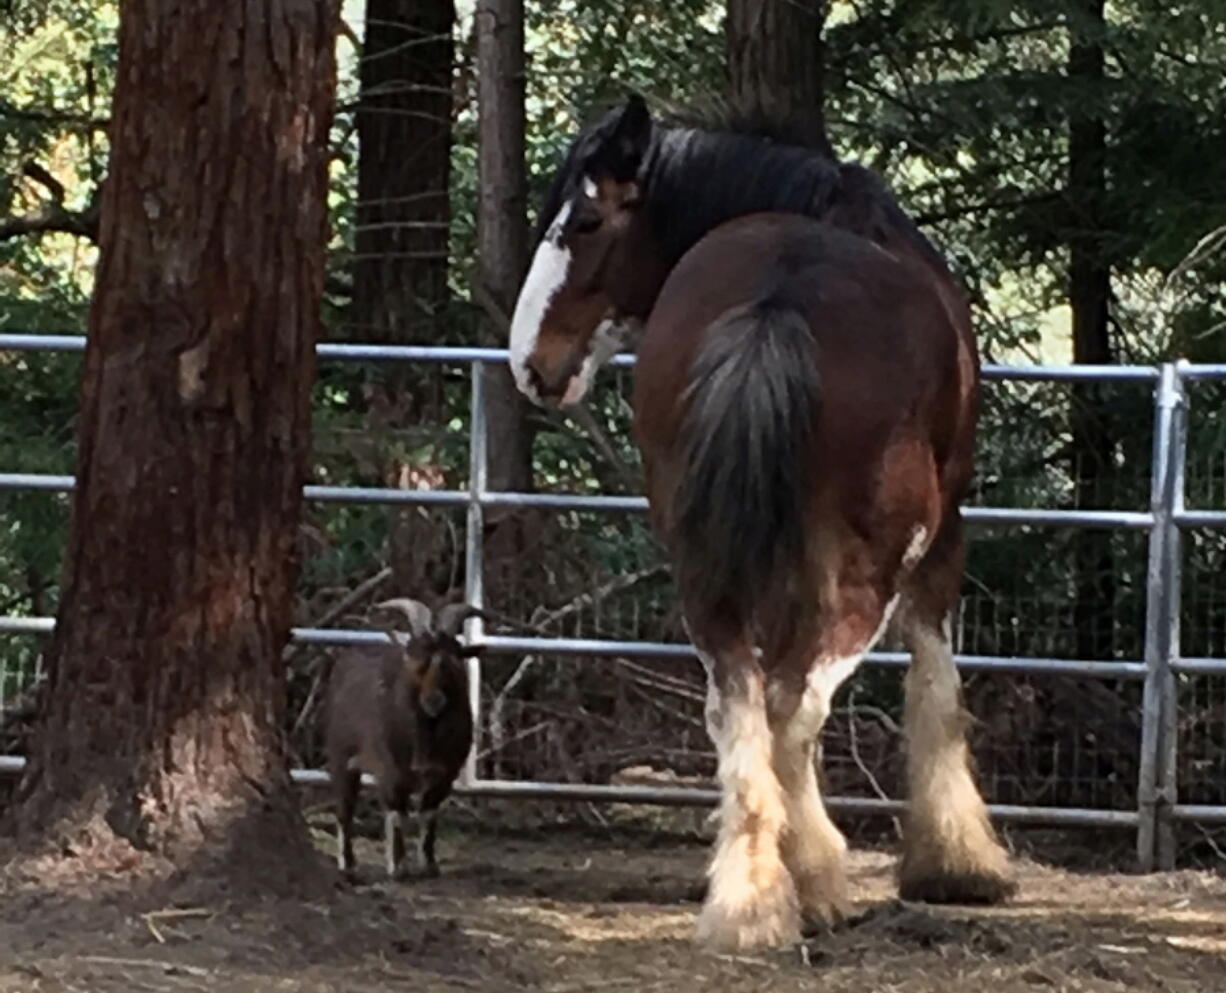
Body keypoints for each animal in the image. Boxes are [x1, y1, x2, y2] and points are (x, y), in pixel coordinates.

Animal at [326, 595, 478, 872]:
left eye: (453, 660)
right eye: (414, 657)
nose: (433, 701)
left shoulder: (445, 774)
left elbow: (428, 812)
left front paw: (429, 866)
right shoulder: (390, 772)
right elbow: (396, 813)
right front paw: (398, 867)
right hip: (340, 756)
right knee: (344, 808)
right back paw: (348, 863)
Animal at [502, 96, 1010, 946]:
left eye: (585, 221)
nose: (529, 363)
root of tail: (779, 296)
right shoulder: (943, 535)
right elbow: (935, 681)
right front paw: (958, 859)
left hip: (701, 559)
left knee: (737, 697)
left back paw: (748, 899)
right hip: (872, 565)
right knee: (794, 701)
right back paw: (814, 879)